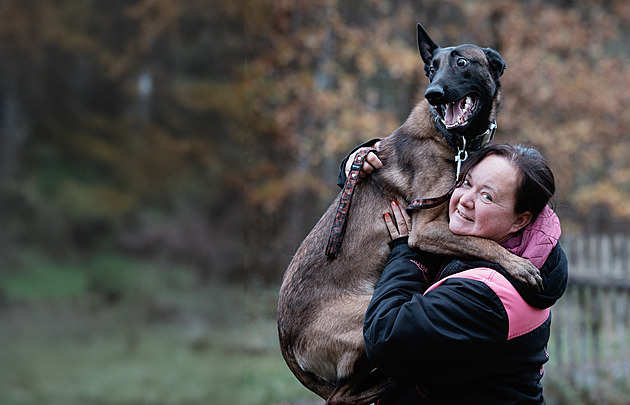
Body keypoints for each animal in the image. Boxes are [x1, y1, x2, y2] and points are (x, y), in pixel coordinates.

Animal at [276, 22, 544, 404]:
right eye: (431, 68)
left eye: (461, 62)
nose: (433, 93)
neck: (454, 142)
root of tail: (285, 338)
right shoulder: (425, 230)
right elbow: (485, 243)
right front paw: (518, 264)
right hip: (365, 324)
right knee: (341, 394)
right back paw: (387, 381)